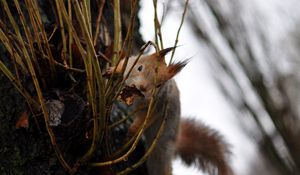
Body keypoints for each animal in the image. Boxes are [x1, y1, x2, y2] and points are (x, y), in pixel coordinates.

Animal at [104, 47, 233, 174]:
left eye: (159, 85)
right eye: (139, 68)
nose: (142, 88)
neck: (136, 96)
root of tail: (176, 141)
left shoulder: (157, 106)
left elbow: (144, 119)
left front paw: (133, 130)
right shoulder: (131, 61)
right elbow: (123, 64)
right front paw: (113, 71)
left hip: (161, 151)